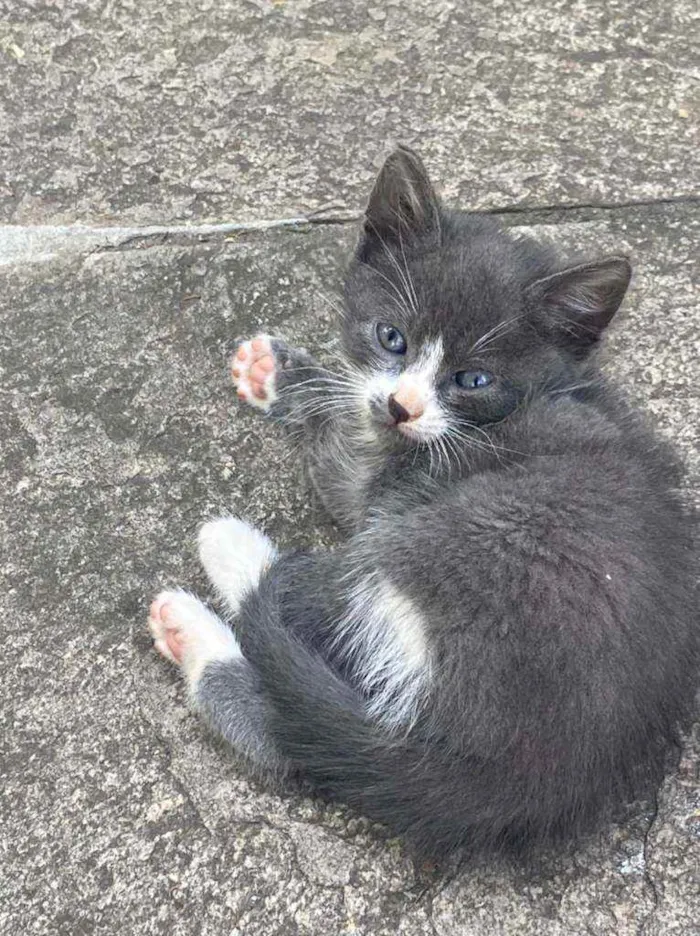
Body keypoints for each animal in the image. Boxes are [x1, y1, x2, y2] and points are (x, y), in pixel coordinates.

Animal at [145, 144, 696, 856]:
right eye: (392, 338)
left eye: (473, 379)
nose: (400, 406)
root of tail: (534, 776)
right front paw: (282, 372)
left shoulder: (384, 483)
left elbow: (340, 467)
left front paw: (293, 382)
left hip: (444, 547)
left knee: (300, 686)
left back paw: (210, 589)